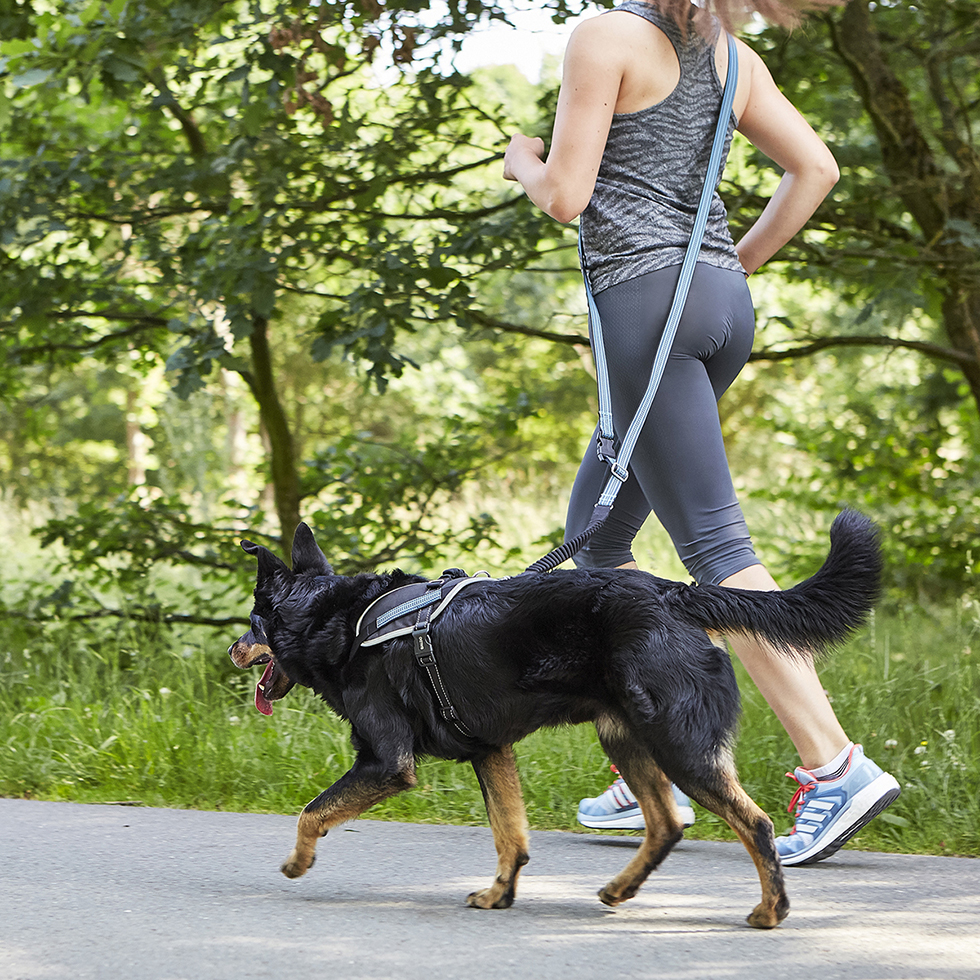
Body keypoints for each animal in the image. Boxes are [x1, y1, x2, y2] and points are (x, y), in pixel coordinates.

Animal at [228, 510, 880, 932]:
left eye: (253, 623)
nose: (233, 648)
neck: (342, 620)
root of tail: (675, 593)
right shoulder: (490, 750)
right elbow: (511, 837)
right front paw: (500, 894)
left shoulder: (387, 762)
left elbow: (312, 813)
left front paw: (298, 862)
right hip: (627, 736)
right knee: (667, 823)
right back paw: (622, 887)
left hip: (679, 745)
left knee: (755, 823)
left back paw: (772, 910)